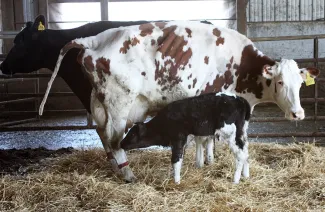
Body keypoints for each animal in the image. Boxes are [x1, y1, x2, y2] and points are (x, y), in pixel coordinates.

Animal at [120, 93, 249, 184]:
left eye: (132, 134)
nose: (120, 143)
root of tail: (239, 99)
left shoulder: (178, 138)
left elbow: (176, 160)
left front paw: (176, 182)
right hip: (242, 133)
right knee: (246, 152)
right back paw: (246, 175)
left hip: (230, 134)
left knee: (240, 154)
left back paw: (235, 180)